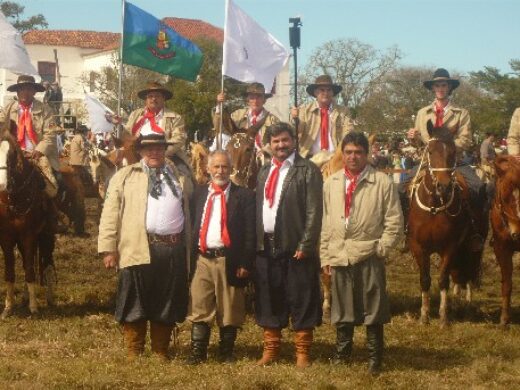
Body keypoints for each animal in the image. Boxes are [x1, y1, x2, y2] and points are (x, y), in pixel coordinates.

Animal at [0, 133, 55, 318]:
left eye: (11, 155)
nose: (1, 185)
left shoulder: (28, 236)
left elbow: (31, 271)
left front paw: (34, 307)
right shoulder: (7, 239)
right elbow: (10, 272)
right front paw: (8, 307)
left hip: (46, 237)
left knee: (47, 264)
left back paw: (49, 298)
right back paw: (24, 298)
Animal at [406, 122, 484, 326]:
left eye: (453, 152)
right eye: (430, 151)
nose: (444, 186)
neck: (434, 205)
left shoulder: (450, 246)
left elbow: (442, 279)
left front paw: (443, 317)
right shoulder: (419, 247)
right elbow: (425, 279)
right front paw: (424, 315)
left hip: (471, 247)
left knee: (469, 273)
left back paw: (466, 304)